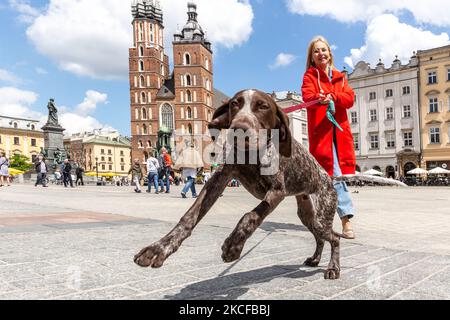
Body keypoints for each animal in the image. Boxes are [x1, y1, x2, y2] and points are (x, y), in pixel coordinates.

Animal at [134, 89, 404, 278]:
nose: (239, 129)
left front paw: (234, 245)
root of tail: (328, 178)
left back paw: (332, 268)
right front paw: (159, 248)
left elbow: (250, 216)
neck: (252, 155)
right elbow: (189, 217)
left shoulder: (277, 191)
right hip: (307, 215)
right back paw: (315, 260)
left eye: (262, 106)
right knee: (320, 238)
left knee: (334, 238)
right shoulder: (219, 180)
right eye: (234, 104)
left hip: (320, 215)